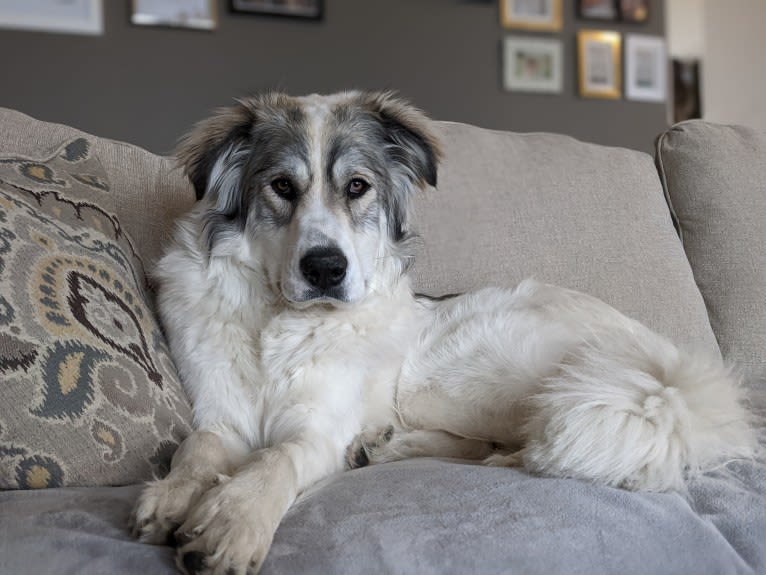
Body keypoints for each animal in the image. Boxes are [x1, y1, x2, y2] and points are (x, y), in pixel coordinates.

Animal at [130, 92, 756, 575]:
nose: (326, 269)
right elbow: (197, 448)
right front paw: (174, 497)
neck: (278, 321)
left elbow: (274, 459)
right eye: (282, 186)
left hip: (455, 379)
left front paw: (231, 521)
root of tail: (664, 363)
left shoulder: (318, 430)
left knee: (516, 441)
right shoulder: (220, 416)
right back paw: (384, 446)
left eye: (356, 187)